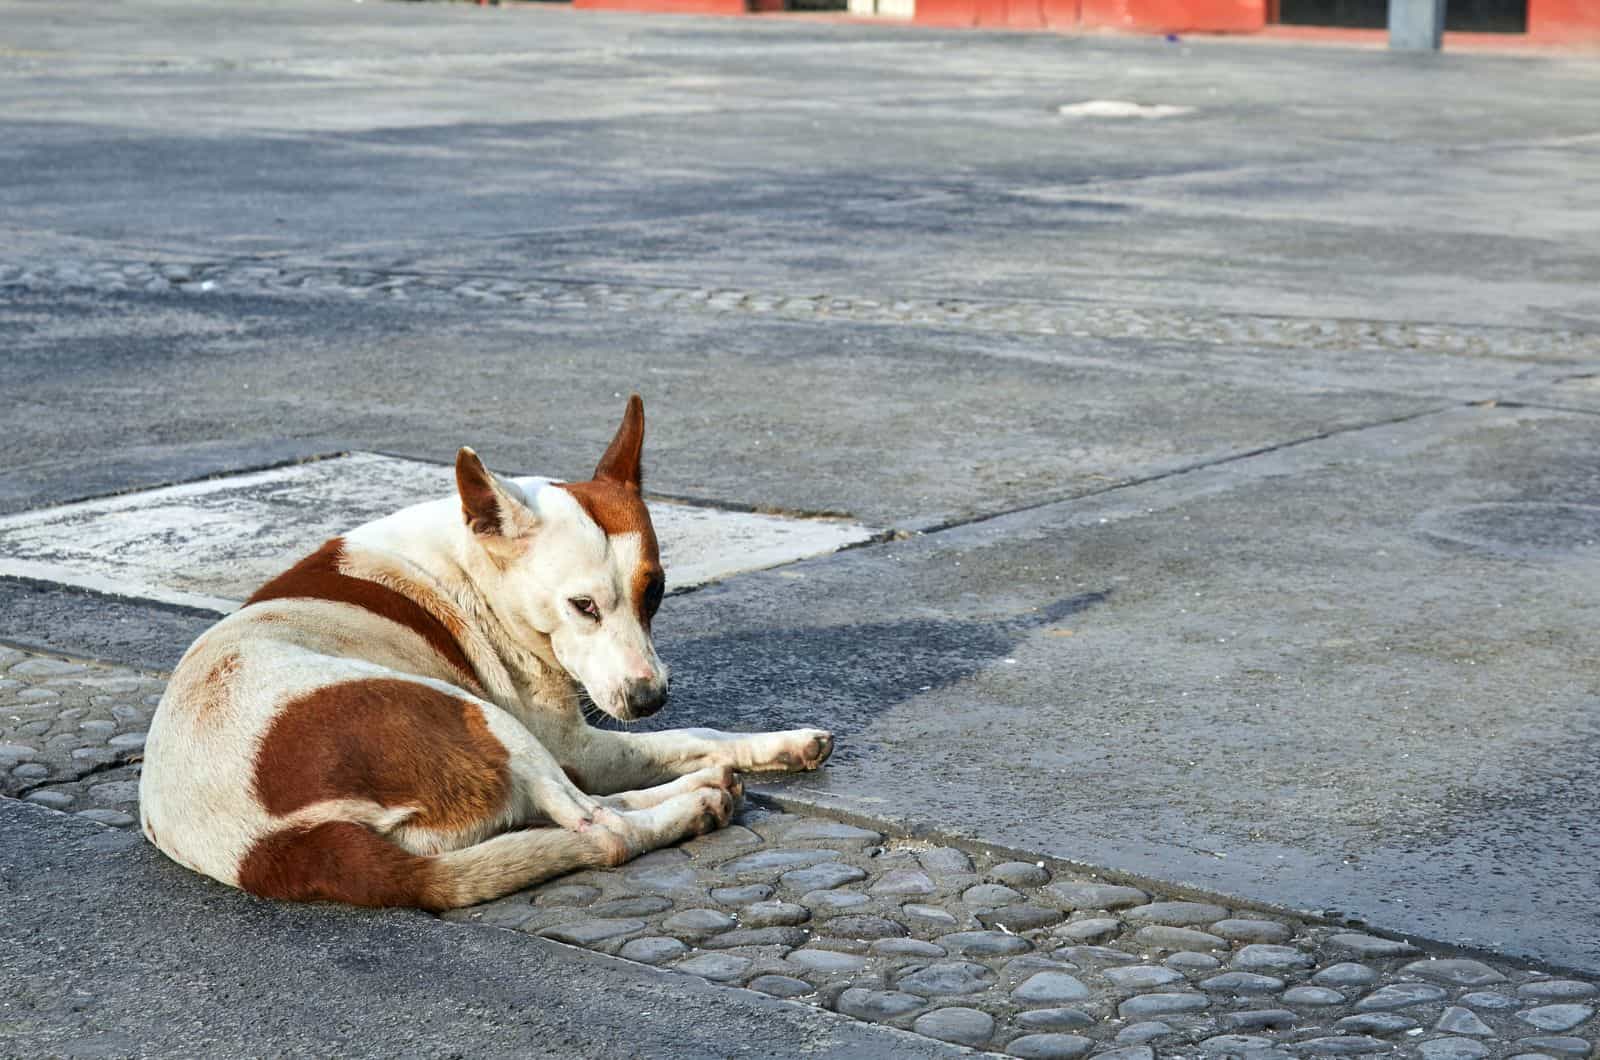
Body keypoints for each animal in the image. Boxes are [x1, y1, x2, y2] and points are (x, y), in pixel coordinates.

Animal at [140, 398, 838, 915]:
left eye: (656, 591)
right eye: (583, 605)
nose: (649, 698)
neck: (474, 564)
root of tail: (277, 848)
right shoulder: (575, 745)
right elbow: (693, 734)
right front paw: (768, 743)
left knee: (579, 819)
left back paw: (704, 789)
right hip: (484, 720)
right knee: (601, 829)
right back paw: (696, 803)